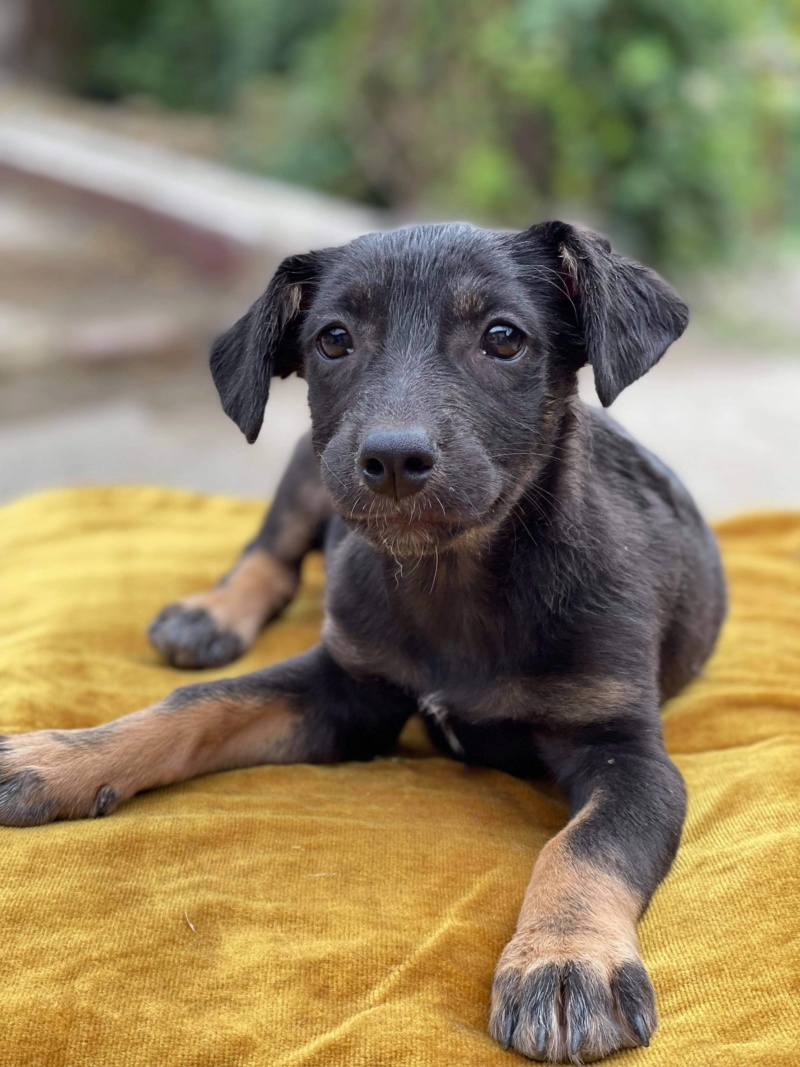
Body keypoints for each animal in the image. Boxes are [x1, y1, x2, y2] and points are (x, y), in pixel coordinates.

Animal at [0, 220, 725, 1062]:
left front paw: (565, 959)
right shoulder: (346, 688)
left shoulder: (627, 752)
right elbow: (198, 705)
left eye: (504, 338)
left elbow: (584, 846)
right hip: (308, 467)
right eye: (334, 339)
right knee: (272, 553)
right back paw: (211, 614)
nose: (394, 461)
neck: (453, 580)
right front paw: (62, 756)